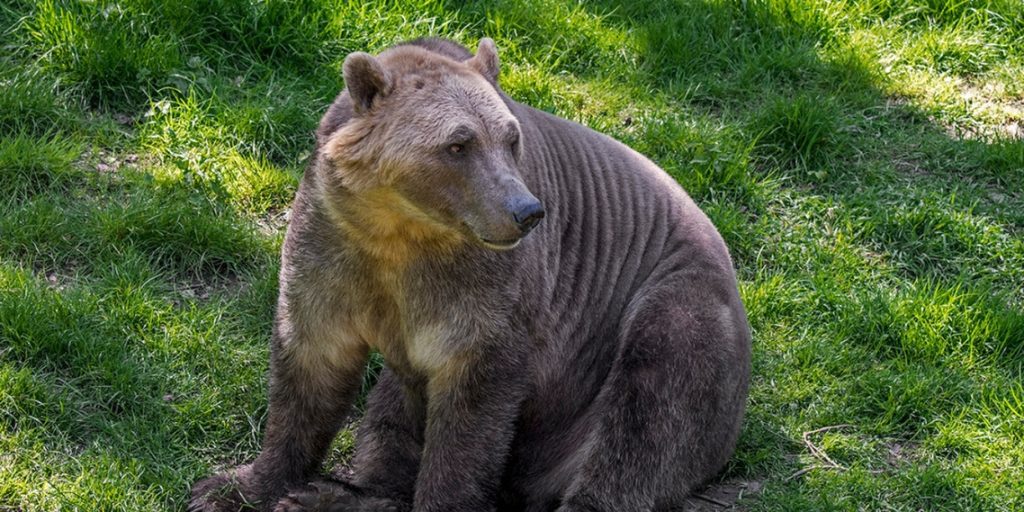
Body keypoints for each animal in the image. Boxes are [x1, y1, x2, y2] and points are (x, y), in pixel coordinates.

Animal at [190, 37, 753, 512]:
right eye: (458, 145)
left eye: (510, 138)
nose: (526, 211)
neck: (400, 231)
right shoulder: (334, 246)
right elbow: (311, 360)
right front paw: (234, 486)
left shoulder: (489, 291)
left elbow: (473, 406)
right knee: (390, 413)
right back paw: (337, 497)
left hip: (672, 305)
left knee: (648, 410)